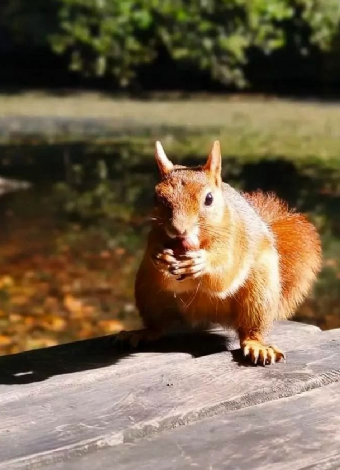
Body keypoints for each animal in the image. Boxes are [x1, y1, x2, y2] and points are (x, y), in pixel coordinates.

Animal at [121, 140, 322, 368]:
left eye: (209, 199)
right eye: (156, 197)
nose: (178, 229)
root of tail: (207, 317)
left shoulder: (236, 241)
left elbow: (225, 274)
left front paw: (202, 263)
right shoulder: (153, 238)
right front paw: (161, 257)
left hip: (260, 293)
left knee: (250, 330)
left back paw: (257, 345)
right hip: (148, 291)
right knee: (158, 325)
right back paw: (143, 333)